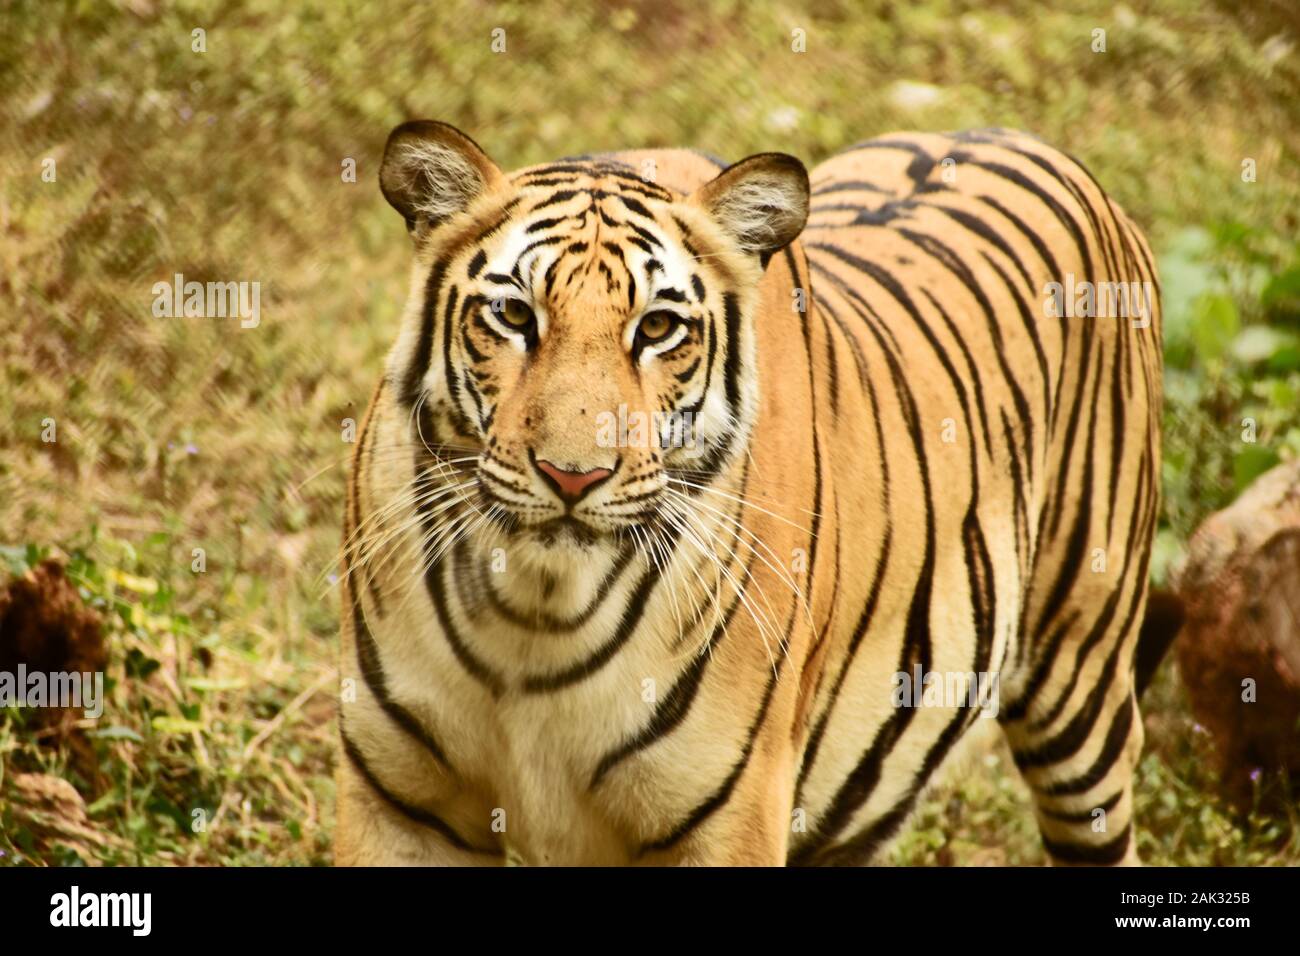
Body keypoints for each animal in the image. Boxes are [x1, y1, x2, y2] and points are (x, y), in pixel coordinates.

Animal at [332, 117, 1159, 868]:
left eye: (658, 328)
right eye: (512, 315)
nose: (574, 475)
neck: (533, 613)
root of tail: (1033, 141)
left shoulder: (729, 823)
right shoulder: (397, 804)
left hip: (1081, 684)